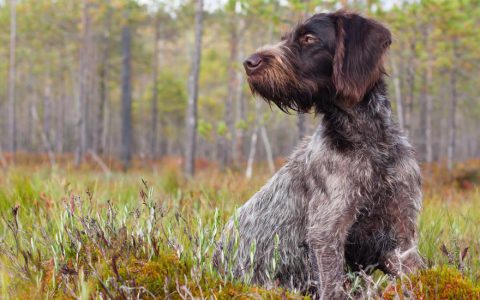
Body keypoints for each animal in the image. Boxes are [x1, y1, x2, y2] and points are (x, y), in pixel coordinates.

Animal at [216, 10, 422, 298]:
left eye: (308, 38)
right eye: (286, 38)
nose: (249, 62)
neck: (368, 142)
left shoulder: (402, 232)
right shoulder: (327, 232)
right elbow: (333, 285)